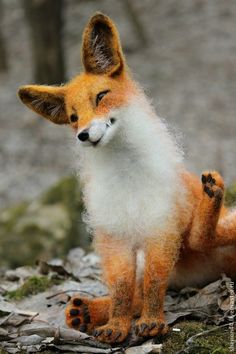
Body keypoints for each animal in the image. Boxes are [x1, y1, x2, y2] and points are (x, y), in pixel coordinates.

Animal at [18, 13, 236, 342]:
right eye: (73, 118)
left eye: (101, 97)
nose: (83, 135)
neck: (127, 179)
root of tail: (209, 274)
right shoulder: (114, 235)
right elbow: (123, 289)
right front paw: (116, 325)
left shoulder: (160, 227)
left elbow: (153, 285)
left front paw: (153, 323)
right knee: (139, 289)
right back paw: (85, 312)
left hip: (221, 231)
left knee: (201, 238)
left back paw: (212, 195)